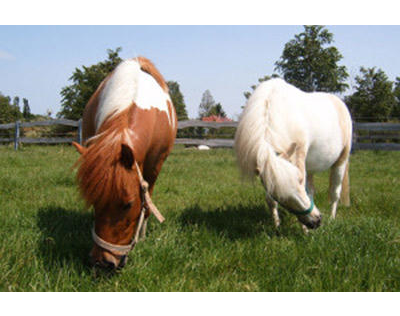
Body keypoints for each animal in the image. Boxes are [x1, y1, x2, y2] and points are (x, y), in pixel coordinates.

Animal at [71, 56, 177, 270]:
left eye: (128, 204)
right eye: (93, 202)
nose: (102, 263)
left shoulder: (155, 165)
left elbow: (147, 203)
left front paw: (142, 237)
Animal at [236, 78, 352, 228]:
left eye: (299, 180)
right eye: (279, 196)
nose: (316, 221)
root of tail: (339, 102)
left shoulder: (299, 155)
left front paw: (304, 230)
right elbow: (271, 201)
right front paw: (277, 226)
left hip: (341, 160)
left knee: (335, 192)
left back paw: (332, 218)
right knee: (312, 190)